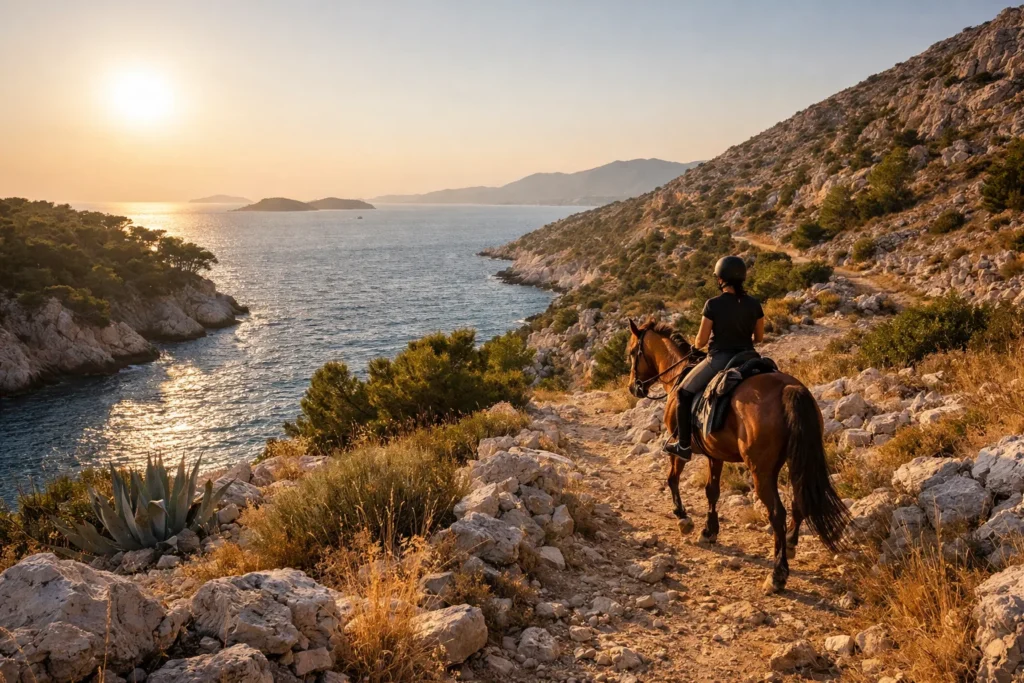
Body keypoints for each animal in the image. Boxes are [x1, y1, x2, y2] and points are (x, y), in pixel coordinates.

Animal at [626, 318, 849, 593]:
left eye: (632, 352)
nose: (633, 387)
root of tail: (789, 389)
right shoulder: (715, 454)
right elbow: (712, 491)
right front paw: (709, 531)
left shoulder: (680, 446)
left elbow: (672, 478)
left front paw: (683, 518)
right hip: (797, 461)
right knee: (799, 502)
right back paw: (790, 543)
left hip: (761, 471)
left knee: (778, 513)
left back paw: (777, 574)